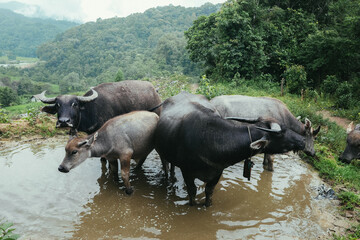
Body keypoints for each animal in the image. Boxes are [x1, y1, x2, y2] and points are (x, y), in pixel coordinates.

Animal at [153, 92, 306, 206]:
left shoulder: (216, 173)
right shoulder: (187, 172)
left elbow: (209, 192)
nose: (302, 141)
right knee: (166, 166)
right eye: (282, 133)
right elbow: (192, 193)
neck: (210, 140)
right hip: (162, 153)